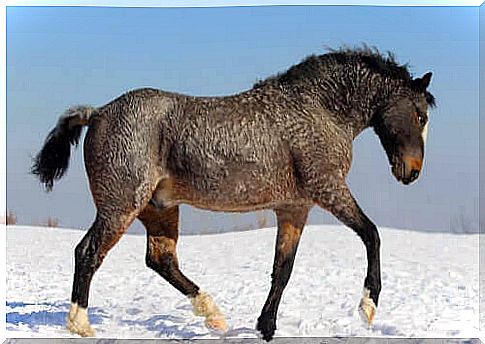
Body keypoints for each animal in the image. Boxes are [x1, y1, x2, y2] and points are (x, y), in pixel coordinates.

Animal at [33, 47, 434, 340]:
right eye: (420, 115)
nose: (412, 172)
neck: (319, 110)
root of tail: (98, 112)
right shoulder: (329, 188)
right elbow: (371, 234)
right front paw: (368, 307)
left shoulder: (294, 208)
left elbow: (282, 270)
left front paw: (266, 328)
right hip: (121, 207)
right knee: (88, 252)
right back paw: (80, 325)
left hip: (158, 208)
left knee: (161, 259)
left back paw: (214, 316)